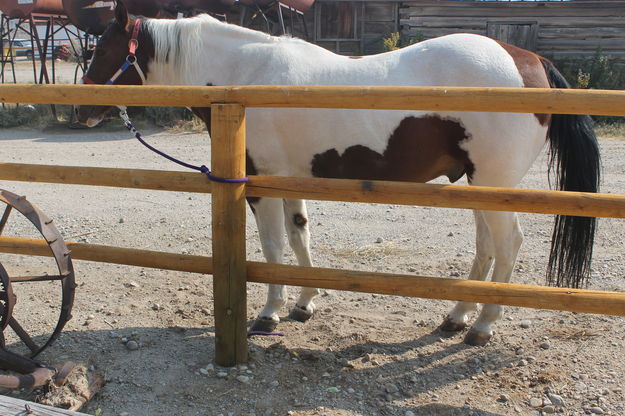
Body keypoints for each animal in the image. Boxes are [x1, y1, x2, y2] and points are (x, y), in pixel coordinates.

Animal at [78, 1, 600, 346]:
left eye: (103, 49)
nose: (81, 110)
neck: (243, 76)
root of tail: (530, 61)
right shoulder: (289, 179)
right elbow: (299, 237)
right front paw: (304, 304)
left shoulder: (258, 183)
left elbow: (272, 247)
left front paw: (269, 314)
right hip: (477, 183)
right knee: (487, 245)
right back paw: (457, 316)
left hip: (494, 181)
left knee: (508, 244)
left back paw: (484, 326)